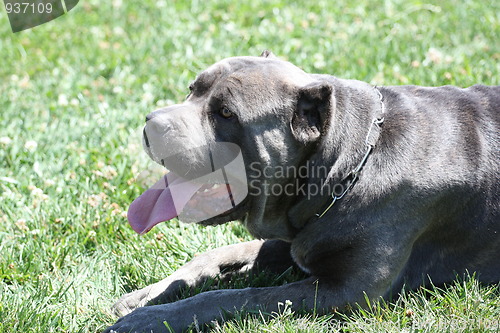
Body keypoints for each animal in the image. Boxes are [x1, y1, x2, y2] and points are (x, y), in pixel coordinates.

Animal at [103, 50, 498, 330]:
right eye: (192, 89)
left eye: (227, 113)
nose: (152, 124)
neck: (350, 164)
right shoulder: (295, 237)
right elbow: (217, 254)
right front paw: (148, 295)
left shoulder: (345, 290)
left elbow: (233, 295)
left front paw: (149, 319)